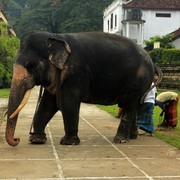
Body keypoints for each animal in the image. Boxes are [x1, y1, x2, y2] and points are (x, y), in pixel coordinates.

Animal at [5, 31, 163, 146]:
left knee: (129, 105)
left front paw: (68, 142)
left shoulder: (75, 74)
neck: (57, 37)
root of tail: (152, 62)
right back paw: (132, 137)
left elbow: (68, 103)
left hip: (139, 80)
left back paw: (120, 140)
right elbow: (48, 104)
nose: (17, 139)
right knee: (133, 105)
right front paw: (37, 140)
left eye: (31, 65)